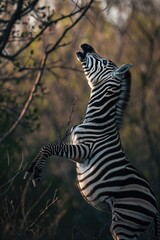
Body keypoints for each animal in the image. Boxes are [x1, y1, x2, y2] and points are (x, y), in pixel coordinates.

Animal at [24, 43, 160, 240]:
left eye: (104, 61)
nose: (86, 45)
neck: (97, 119)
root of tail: (155, 206)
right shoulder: (74, 145)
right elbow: (45, 148)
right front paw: (31, 169)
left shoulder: (84, 150)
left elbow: (50, 147)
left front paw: (37, 174)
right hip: (127, 225)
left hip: (125, 222)